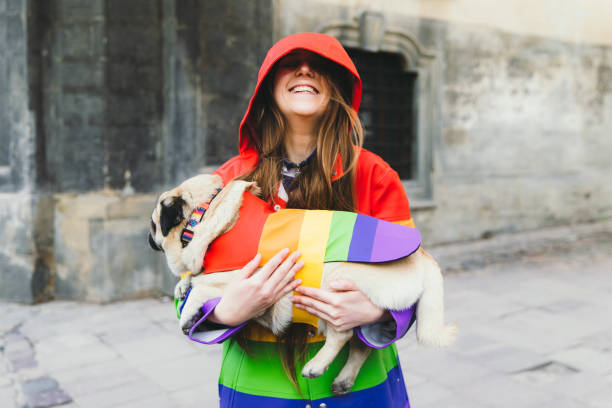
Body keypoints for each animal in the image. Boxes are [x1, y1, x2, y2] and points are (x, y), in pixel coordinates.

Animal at [148, 173, 454, 396]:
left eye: (153, 226)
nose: (148, 238)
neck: (206, 211)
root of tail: (423, 255)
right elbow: (196, 276)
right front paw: (182, 285)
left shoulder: (240, 278)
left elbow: (202, 286)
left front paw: (188, 314)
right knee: (362, 346)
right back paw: (343, 380)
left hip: (333, 283)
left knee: (342, 335)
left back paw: (316, 366)